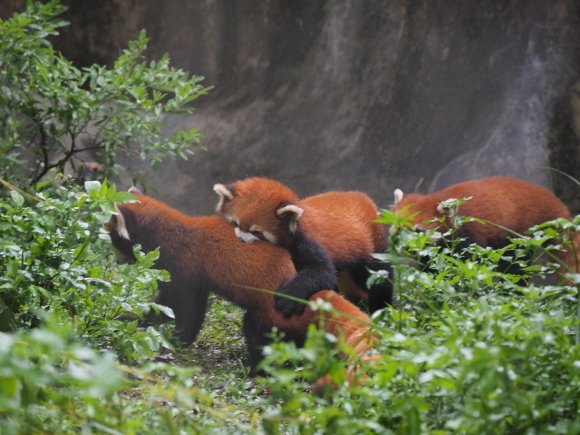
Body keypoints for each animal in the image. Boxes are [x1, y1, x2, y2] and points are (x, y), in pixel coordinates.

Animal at [104, 187, 376, 374]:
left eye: (111, 239)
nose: (115, 260)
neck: (167, 232)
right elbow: (164, 306)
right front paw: (129, 317)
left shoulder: (184, 269)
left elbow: (186, 311)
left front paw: (175, 342)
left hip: (269, 314)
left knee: (256, 334)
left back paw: (257, 369)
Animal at [211, 177, 392, 316]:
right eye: (235, 223)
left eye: (256, 232)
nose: (241, 239)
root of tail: (361, 197)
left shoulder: (308, 242)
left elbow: (322, 272)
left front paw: (289, 298)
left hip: (371, 245)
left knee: (379, 276)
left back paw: (381, 308)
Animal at [392, 176, 576, 280]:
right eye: (399, 229)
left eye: (417, 231)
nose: (407, 246)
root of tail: (546, 196)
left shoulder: (470, 238)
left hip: (521, 234)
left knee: (515, 267)